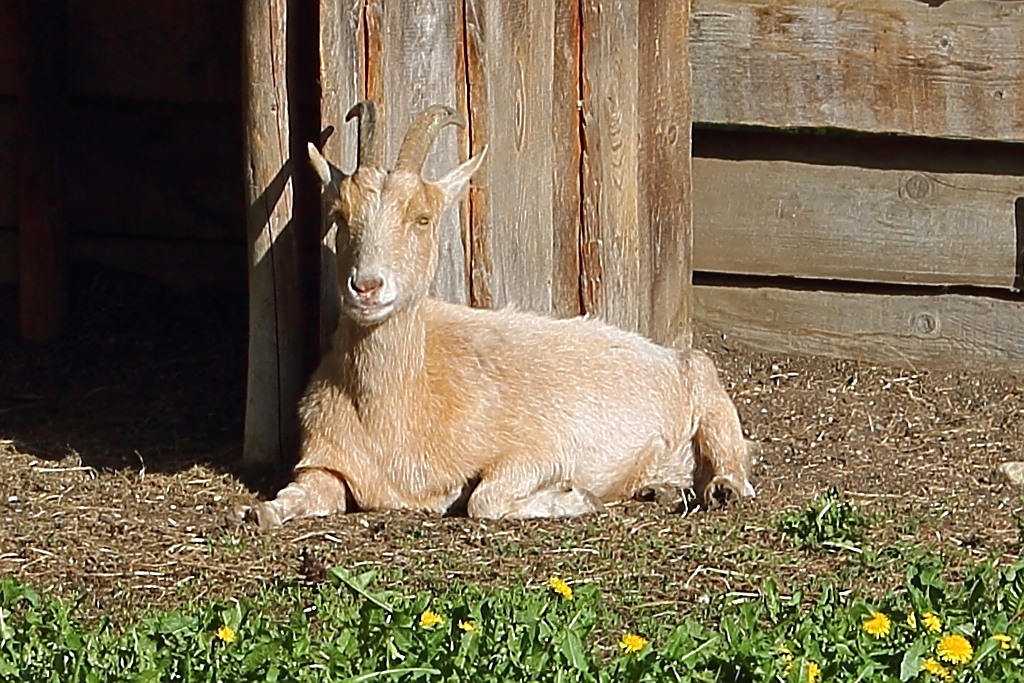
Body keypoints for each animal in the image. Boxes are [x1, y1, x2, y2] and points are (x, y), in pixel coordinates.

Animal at [245, 101, 753, 532]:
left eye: (423, 218)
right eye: (339, 215)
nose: (366, 286)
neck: (397, 407)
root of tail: (669, 354)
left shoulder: (537, 447)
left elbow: (483, 499)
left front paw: (575, 496)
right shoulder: (325, 461)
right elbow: (305, 492)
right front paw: (258, 511)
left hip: (705, 390)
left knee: (732, 458)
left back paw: (721, 489)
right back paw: (659, 488)